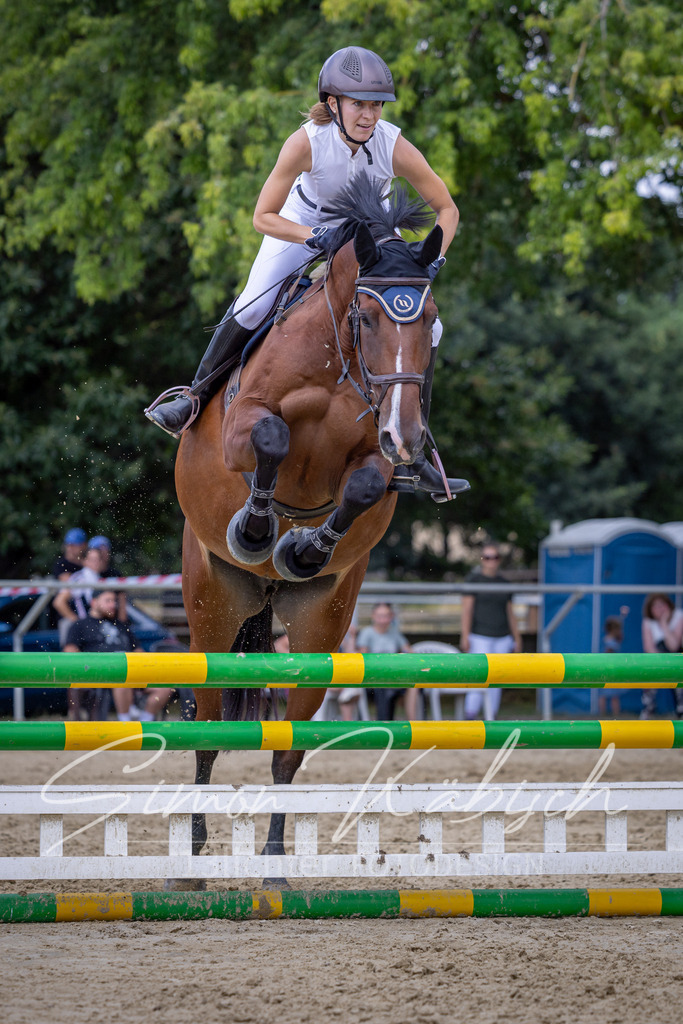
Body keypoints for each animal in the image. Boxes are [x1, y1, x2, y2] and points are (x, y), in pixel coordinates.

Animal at [172, 174, 447, 887]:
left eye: (429, 321)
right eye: (368, 317)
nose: (408, 435)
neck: (337, 363)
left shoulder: (374, 454)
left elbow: (365, 486)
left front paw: (305, 545)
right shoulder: (240, 427)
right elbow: (270, 436)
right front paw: (257, 526)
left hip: (320, 628)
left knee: (286, 751)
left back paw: (274, 867)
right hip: (212, 606)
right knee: (207, 731)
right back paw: (189, 860)